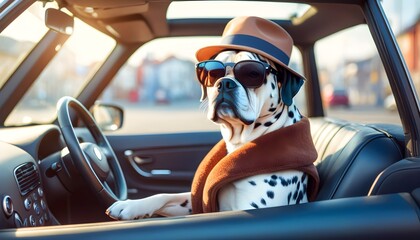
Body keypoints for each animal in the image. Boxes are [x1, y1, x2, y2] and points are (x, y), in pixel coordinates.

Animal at [105, 50, 308, 219]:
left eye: (252, 73)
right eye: (213, 73)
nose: (224, 83)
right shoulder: (195, 200)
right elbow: (165, 196)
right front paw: (130, 205)